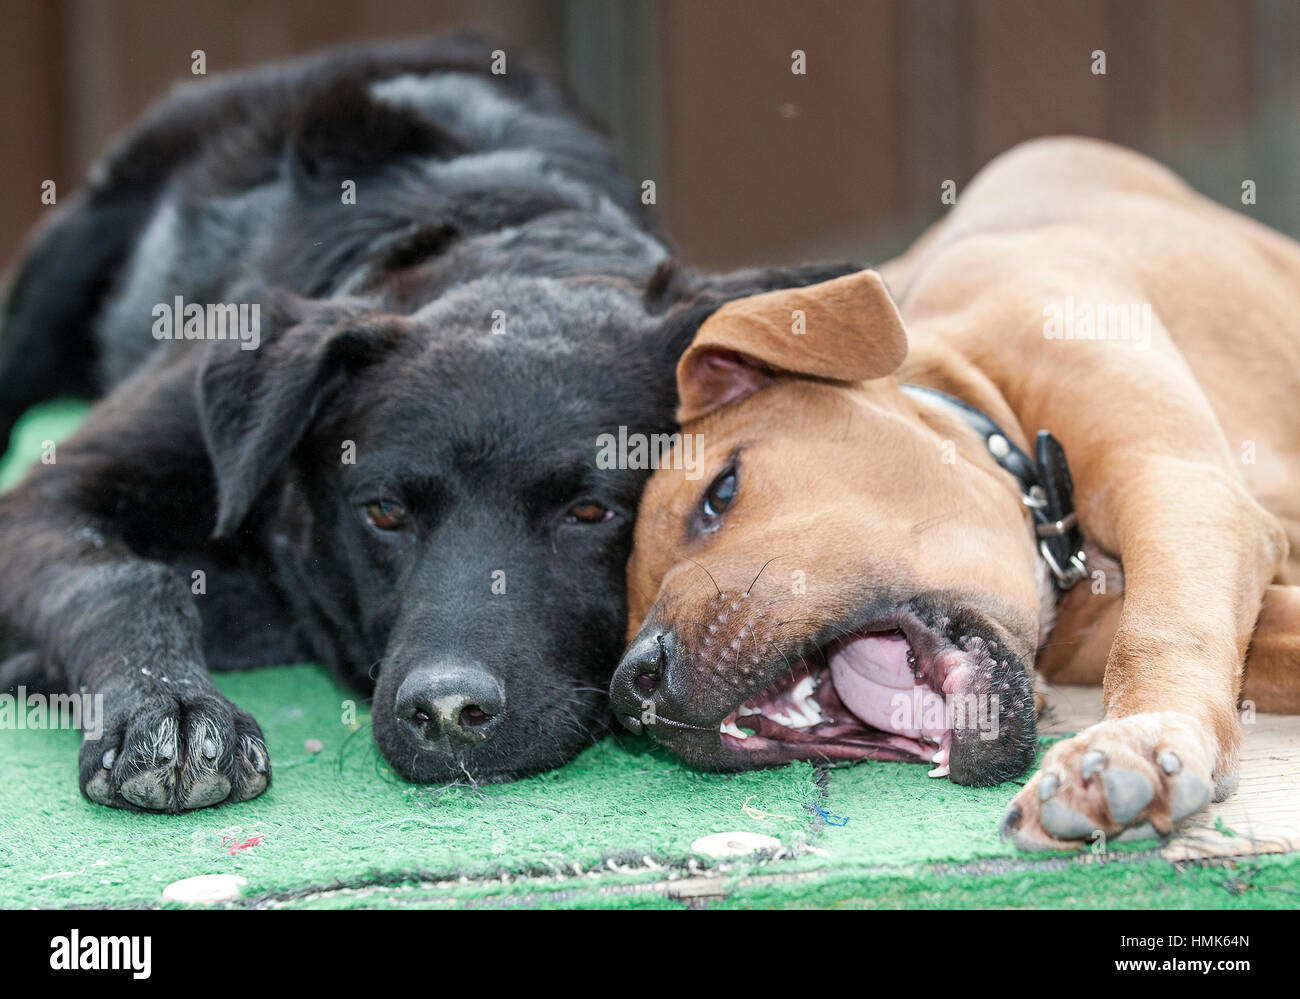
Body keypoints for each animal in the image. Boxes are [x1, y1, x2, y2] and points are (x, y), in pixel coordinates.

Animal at [0, 35, 847, 811]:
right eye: (382, 511)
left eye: (591, 511)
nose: (445, 711)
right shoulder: (54, 492)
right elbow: (127, 579)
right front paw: (168, 702)